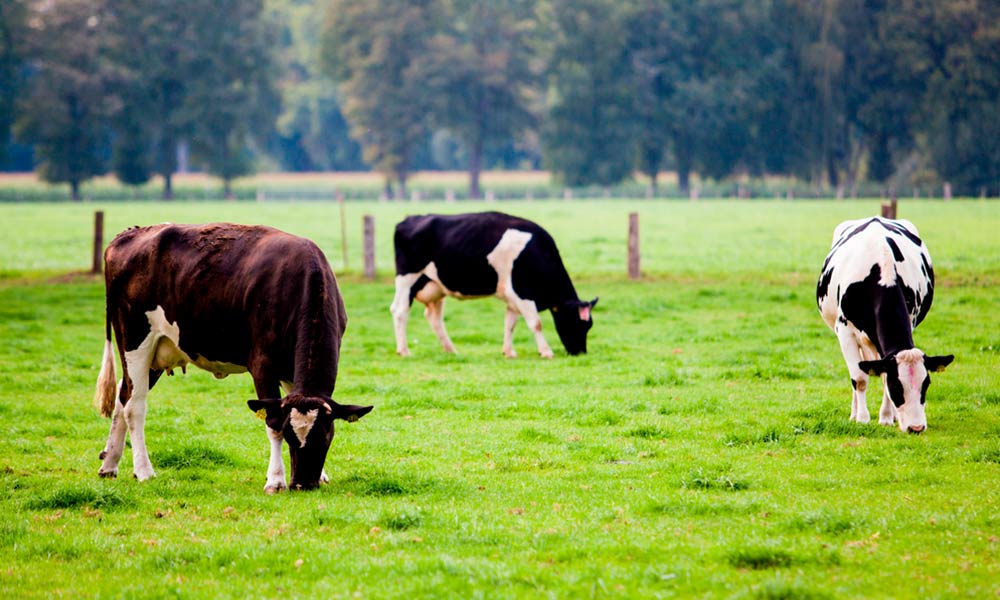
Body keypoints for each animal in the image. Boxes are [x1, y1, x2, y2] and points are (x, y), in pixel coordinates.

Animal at [94, 224, 372, 492]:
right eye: (290, 435)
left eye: (326, 437)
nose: (303, 484)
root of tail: (129, 234)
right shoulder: (262, 364)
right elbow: (272, 421)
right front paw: (276, 480)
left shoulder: (292, 373)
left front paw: (321, 475)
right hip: (134, 339)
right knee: (134, 406)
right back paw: (144, 471)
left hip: (156, 353)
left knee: (123, 395)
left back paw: (109, 463)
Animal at [388, 212, 592, 356]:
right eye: (576, 322)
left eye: (589, 325)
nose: (580, 352)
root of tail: (409, 219)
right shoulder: (522, 292)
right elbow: (536, 323)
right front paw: (546, 351)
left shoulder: (513, 297)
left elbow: (510, 324)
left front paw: (509, 352)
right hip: (407, 278)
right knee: (400, 311)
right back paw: (404, 350)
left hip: (436, 286)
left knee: (434, 318)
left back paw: (451, 350)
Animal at [816, 218, 948, 434]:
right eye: (897, 387)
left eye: (926, 385)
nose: (916, 427)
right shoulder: (845, 332)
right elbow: (859, 378)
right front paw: (862, 418)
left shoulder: (909, 321)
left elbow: (883, 375)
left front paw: (886, 418)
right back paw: (854, 414)